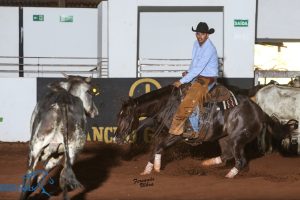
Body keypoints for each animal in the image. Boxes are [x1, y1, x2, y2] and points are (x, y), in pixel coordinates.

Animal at [113, 84, 296, 178]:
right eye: (118, 115)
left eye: (126, 116)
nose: (116, 139)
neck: (169, 105)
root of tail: (260, 111)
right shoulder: (165, 134)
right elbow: (155, 148)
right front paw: (147, 170)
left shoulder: (176, 136)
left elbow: (159, 147)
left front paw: (156, 167)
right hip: (224, 137)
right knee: (226, 155)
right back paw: (207, 164)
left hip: (238, 139)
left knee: (240, 160)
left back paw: (228, 176)